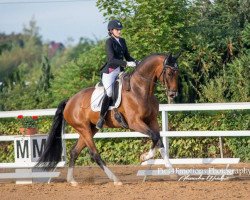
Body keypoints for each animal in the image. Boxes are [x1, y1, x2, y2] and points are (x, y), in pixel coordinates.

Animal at [35, 52, 180, 186]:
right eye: (169, 72)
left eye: (177, 73)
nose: (173, 94)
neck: (139, 89)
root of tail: (69, 101)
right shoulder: (134, 123)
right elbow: (155, 137)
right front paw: (144, 157)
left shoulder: (152, 121)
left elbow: (159, 140)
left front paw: (171, 171)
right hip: (84, 128)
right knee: (94, 153)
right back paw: (115, 179)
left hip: (89, 129)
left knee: (74, 151)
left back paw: (72, 180)